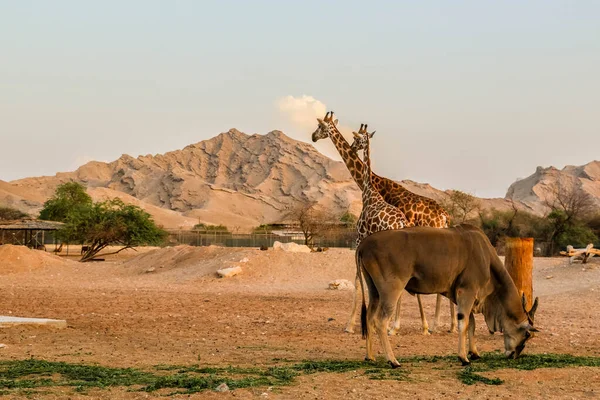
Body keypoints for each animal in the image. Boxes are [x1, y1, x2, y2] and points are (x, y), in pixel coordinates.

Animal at [312, 111, 458, 334]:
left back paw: (434, 324)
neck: (372, 183)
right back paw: (449, 325)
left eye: (320, 126)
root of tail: (445, 216)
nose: (313, 136)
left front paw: (386, 325)